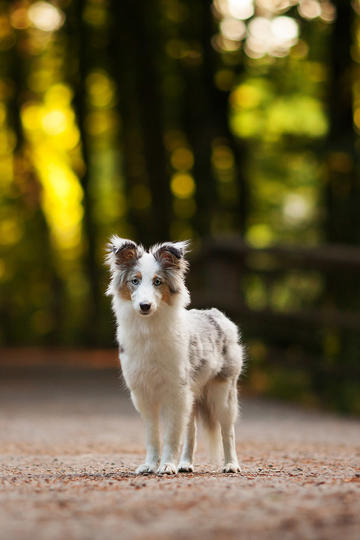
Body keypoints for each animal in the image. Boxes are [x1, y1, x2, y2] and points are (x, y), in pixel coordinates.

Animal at [105, 236, 243, 472]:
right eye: (134, 281)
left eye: (157, 282)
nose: (144, 306)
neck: (149, 330)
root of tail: (217, 314)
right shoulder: (143, 394)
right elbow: (153, 435)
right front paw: (150, 465)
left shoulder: (176, 392)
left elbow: (171, 435)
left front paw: (167, 466)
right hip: (193, 395)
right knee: (191, 431)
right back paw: (185, 464)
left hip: (223, 392)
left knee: (228, 431)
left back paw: (231, 465)